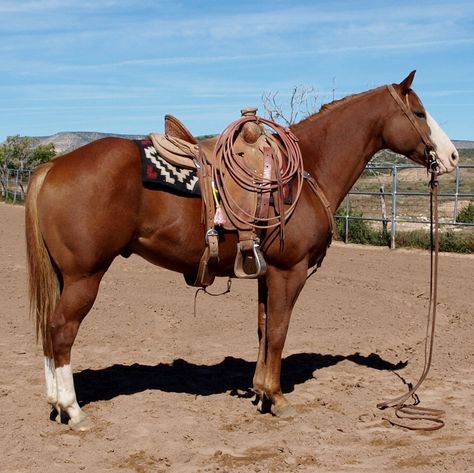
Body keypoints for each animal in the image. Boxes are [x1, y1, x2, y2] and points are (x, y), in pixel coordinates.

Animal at [25, 70, 456, 428]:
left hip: (65, 277)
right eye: (419, 112)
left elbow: (264, 329)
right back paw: (73, 410)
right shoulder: (290, 271)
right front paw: (278, 399)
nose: (452, 156)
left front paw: (260, 392)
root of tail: (52, 167)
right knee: (61, 331)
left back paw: (54, 403)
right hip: (85, 276)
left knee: (48, 331)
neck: (306, 170)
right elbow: (279, 331)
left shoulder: (267, 272)